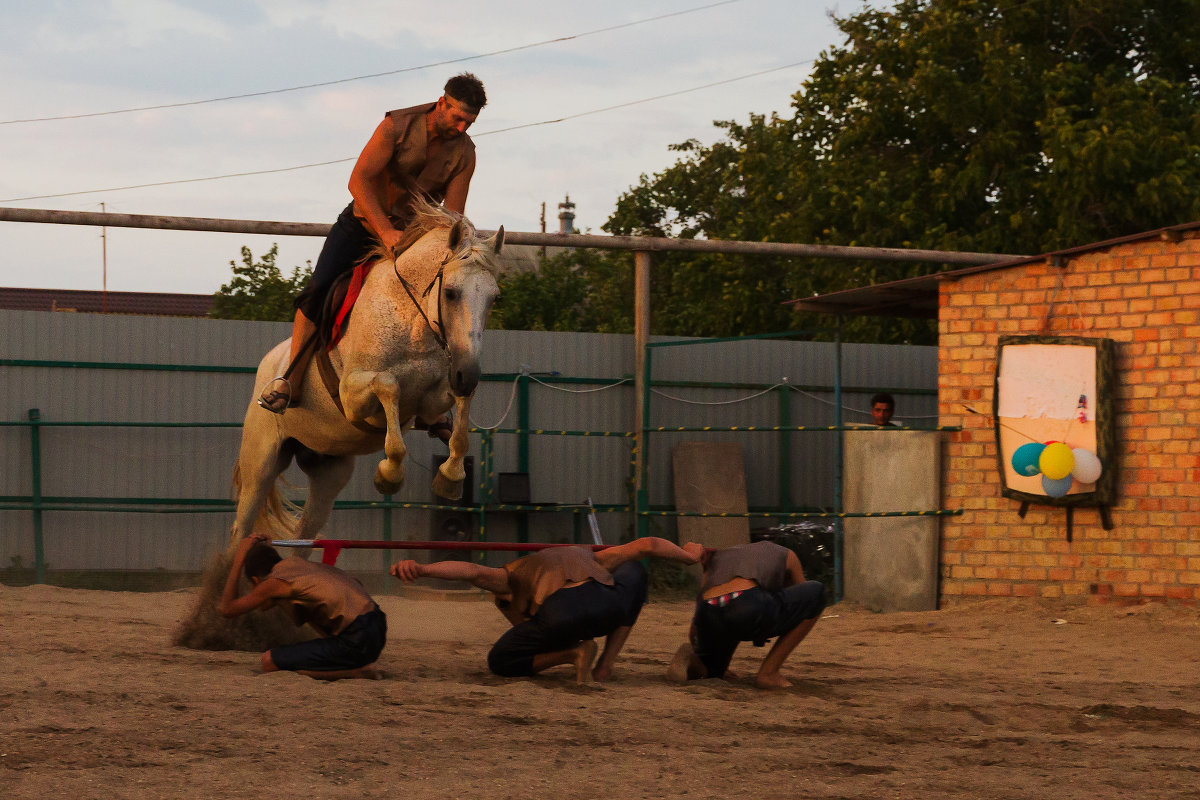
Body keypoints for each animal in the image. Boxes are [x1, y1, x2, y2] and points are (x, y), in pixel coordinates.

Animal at [229, 203, 501, 546]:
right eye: (451, 293)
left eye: (494, 297)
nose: (467, 373)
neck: (410, 320)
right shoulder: (351, 395)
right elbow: (388, 386)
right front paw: (389, 476)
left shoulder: (434, 397)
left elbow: (459, 407)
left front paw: (451, 476)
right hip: (261, 462)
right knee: (242, 526)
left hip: (329, 469)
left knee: (306, 531)